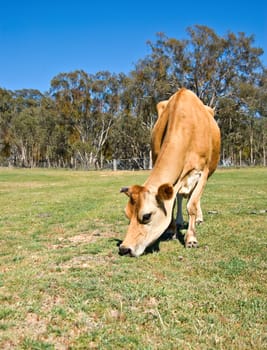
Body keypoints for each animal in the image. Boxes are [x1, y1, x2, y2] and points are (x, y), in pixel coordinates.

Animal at [120, 87, 221, 258]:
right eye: (127, 214)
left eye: (146, 216)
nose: (124, 249)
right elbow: (172, 202)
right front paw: (172, 230)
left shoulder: (203, 172)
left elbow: (192, 205)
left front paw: (191, 239)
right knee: (180, 197)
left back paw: (198, 218)